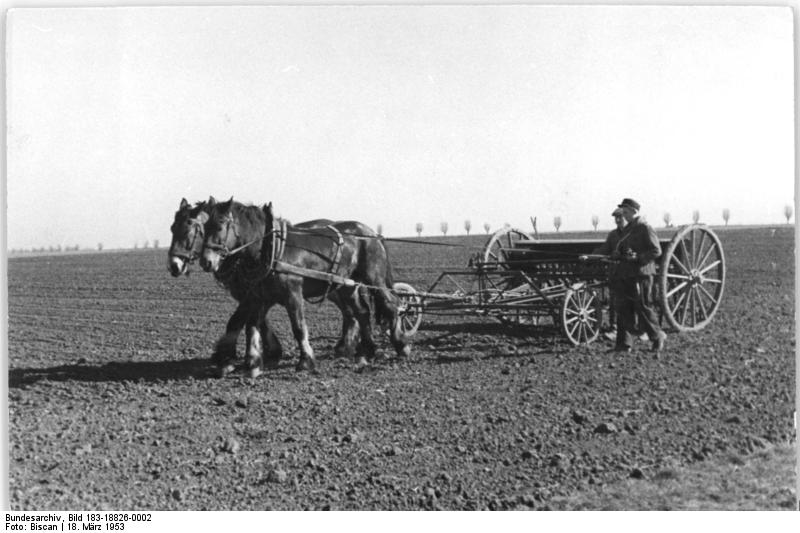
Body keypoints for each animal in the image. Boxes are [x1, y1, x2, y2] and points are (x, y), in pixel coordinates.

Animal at [200, 195, 412, 374]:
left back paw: (401, 346)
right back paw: (366, 352)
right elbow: (251, 325)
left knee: (391, 304)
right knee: (362, 312)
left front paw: (305, 361)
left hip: (374, 278)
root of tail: (372, 233)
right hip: (347, 285)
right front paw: (252, 363)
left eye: (220, 225)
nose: (206, 261)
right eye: (204, 227)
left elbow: (298, 326)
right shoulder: (258, 296)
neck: (271, 248)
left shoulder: (292, 293)